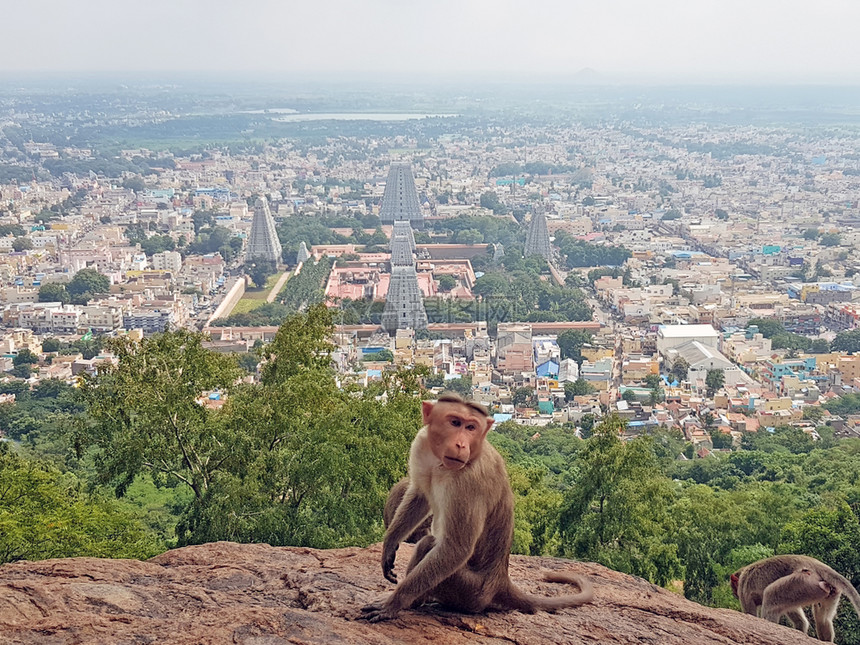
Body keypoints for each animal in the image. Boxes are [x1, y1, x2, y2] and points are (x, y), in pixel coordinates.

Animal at [360, 390, 596, 620]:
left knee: (429, 544)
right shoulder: (421, 443)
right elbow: (419, 495)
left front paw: (393, 604)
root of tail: (500, 580)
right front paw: (389, 545)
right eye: (455, 422)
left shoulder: (468, 483)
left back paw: (414, 601)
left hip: (469, 591)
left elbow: (457, 548)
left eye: (471, 427)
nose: (461, 444)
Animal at [728, 552, 860, 640]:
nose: (734, 594)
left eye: (734, 587)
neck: (744, 573)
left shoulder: (744, 589)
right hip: (826, 590)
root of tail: (816, 564)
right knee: (823, 619)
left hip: (802, 581)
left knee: (770, 596)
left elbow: (750, 613)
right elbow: (800, 620)